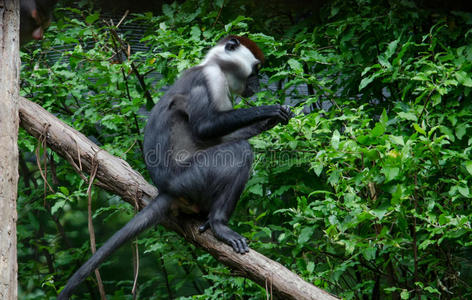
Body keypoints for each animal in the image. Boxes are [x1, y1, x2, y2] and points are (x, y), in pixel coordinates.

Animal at [58, 35, 296, 298]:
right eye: (255, 70)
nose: (257, 83)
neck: (212, 64)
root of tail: (167, 190)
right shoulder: (210, 79)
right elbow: (206, 128)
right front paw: (269, 110)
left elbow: (217, 137)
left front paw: (273, 119)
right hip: (192, 177)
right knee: (240, 151)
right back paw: (218, 224)